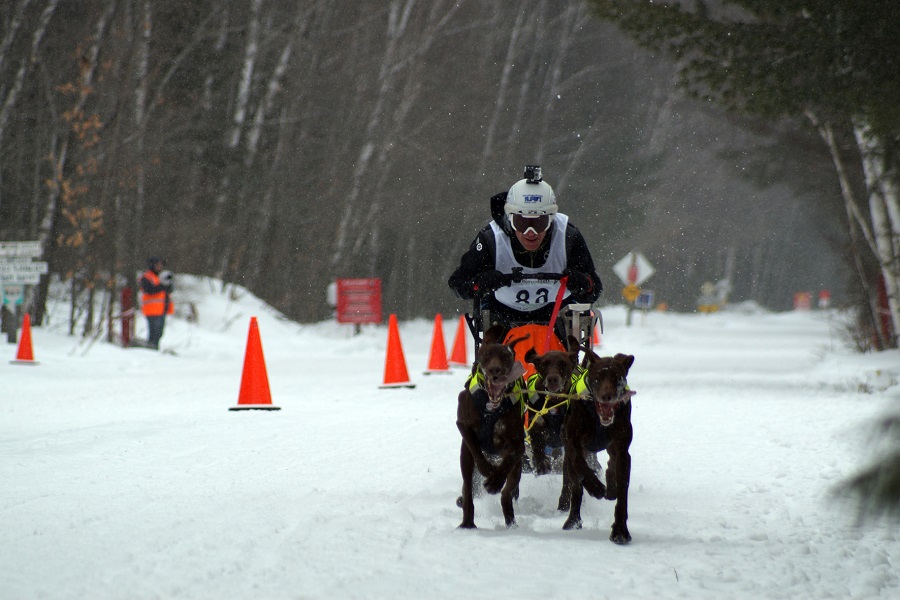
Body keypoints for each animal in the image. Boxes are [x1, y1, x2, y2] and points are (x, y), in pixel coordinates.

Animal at [458, 326, 528, 528]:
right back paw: (467, 523)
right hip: (465, 460)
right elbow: (477, 453)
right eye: (486, 354)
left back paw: (511, 522)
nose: (495, 369)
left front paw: (495, 481)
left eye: (506, 356)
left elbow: (509, 459)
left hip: (517, 469)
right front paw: (489, 472)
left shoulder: (517, 445)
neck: (490, 408)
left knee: (506, 494)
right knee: (468, 490)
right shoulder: (463, 426)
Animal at [560, 352, 636, 544]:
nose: (606, 396)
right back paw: (573, 520)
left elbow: (622, 492)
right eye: (597, 378)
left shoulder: (623, 451)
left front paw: (620, 531)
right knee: (575, 487)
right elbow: (580, 464)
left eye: (617, 377)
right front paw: (595, 487)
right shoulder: (572, 443)